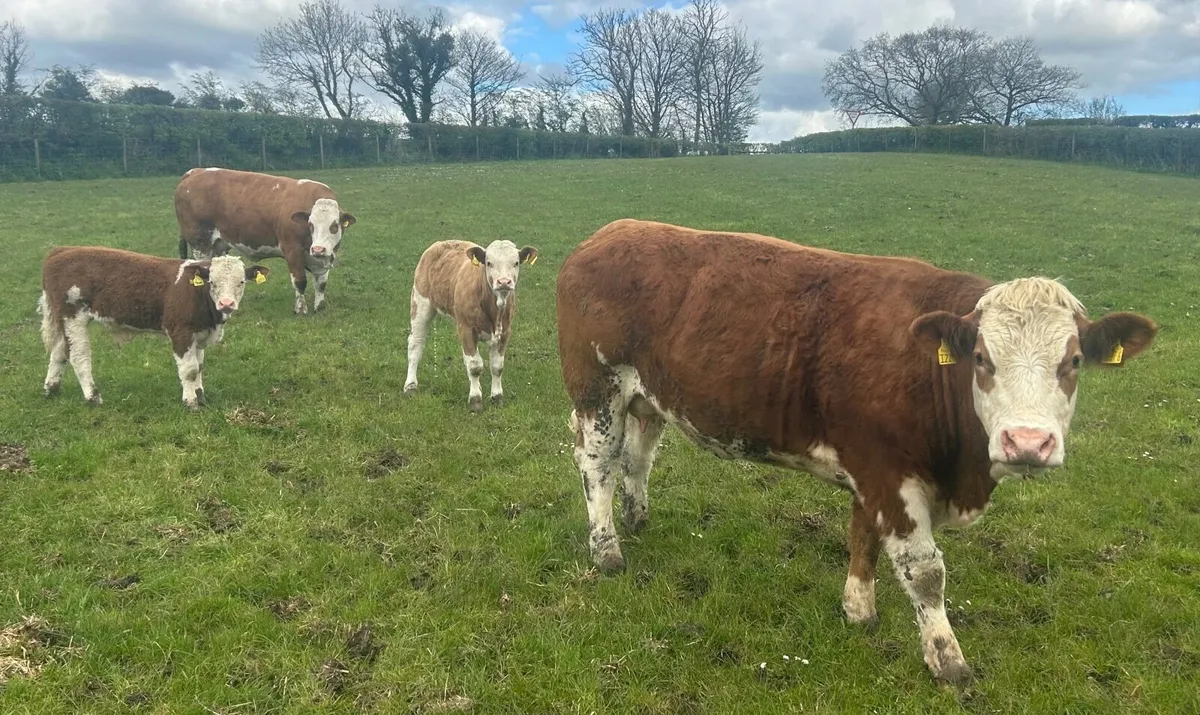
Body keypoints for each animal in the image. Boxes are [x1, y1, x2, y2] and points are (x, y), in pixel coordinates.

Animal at [39, 246, 269, 410]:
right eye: (212, 282)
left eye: (241, 282)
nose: (226, 304)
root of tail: (60, 250)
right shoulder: (181, 332)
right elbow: (190, 369)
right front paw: (191, 402)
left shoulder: (199, 334)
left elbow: (200, 367)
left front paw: (200, 396)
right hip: (73, 316)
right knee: (79, 356)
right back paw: (92, 397)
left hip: (65, 320)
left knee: (59, 351)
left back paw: (51, 388)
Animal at [174, 167, 356, 315]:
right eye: (310, 224)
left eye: (335, 226)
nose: (318, 249)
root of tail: (195, 171)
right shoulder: (292, 250)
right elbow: (300, 281)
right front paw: (301, 309)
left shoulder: (326, 256)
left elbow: (321, 283)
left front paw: (319, 306)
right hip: (200, 244)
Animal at [404, 239, 539, 413]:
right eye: (489, 263)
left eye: (515, 263)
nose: (504, 282)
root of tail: (442, 243)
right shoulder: (466, 329)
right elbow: (475, 366)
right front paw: (476, 400)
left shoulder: (505, 332)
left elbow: (497, 366)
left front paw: (497, 397)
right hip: (420, 303)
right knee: (416, 345)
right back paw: (410, 386)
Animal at [555, 219, 1157, 684]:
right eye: (982, 358)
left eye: (1073, 361)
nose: (1027, 442)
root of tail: (608, 234)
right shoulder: (890, 472)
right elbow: (925, 571)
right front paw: (947, 661)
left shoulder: (872, 467)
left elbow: (862, 536)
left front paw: (858, 610)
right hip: (597, 389)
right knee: (597, 464)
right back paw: (607, 549)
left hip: (648, 397)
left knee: (637, 457)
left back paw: (637, 516)